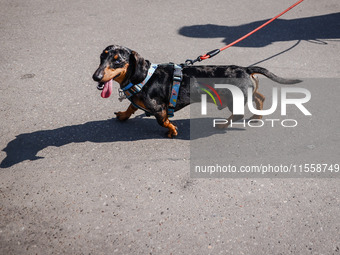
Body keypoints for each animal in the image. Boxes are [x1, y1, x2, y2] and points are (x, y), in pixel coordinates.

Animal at [93, 45, 300, 137]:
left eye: (118, 61)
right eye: (102, 57)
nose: (96, 77)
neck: (142, 77)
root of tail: (247, 69)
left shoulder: (159, 109)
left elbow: (163, 121)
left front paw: (172, 131)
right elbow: (131, 107)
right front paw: (122, 115)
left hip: (234, 100)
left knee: (239, 114)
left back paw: (223, 125)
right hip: (246, 93)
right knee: (259, 97)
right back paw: (257, 116)